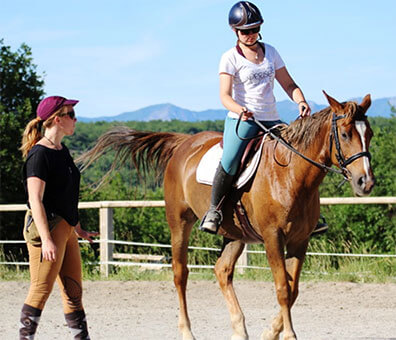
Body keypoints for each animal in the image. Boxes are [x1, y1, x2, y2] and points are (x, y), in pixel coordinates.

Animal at [78, 91, 374, 338]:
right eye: (345, 134)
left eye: (369, 134)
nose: (366, 182)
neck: (290, 175)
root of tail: (184, 143)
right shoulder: (273, 237)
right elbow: (282, 288)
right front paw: (288, 335)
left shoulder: (300, 240)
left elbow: (293, 289)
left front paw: (270, 332)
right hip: (179, 221)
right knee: (180, 273)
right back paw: (187, 332)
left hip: (235, 233)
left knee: (222, 270)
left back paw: (239, 330)